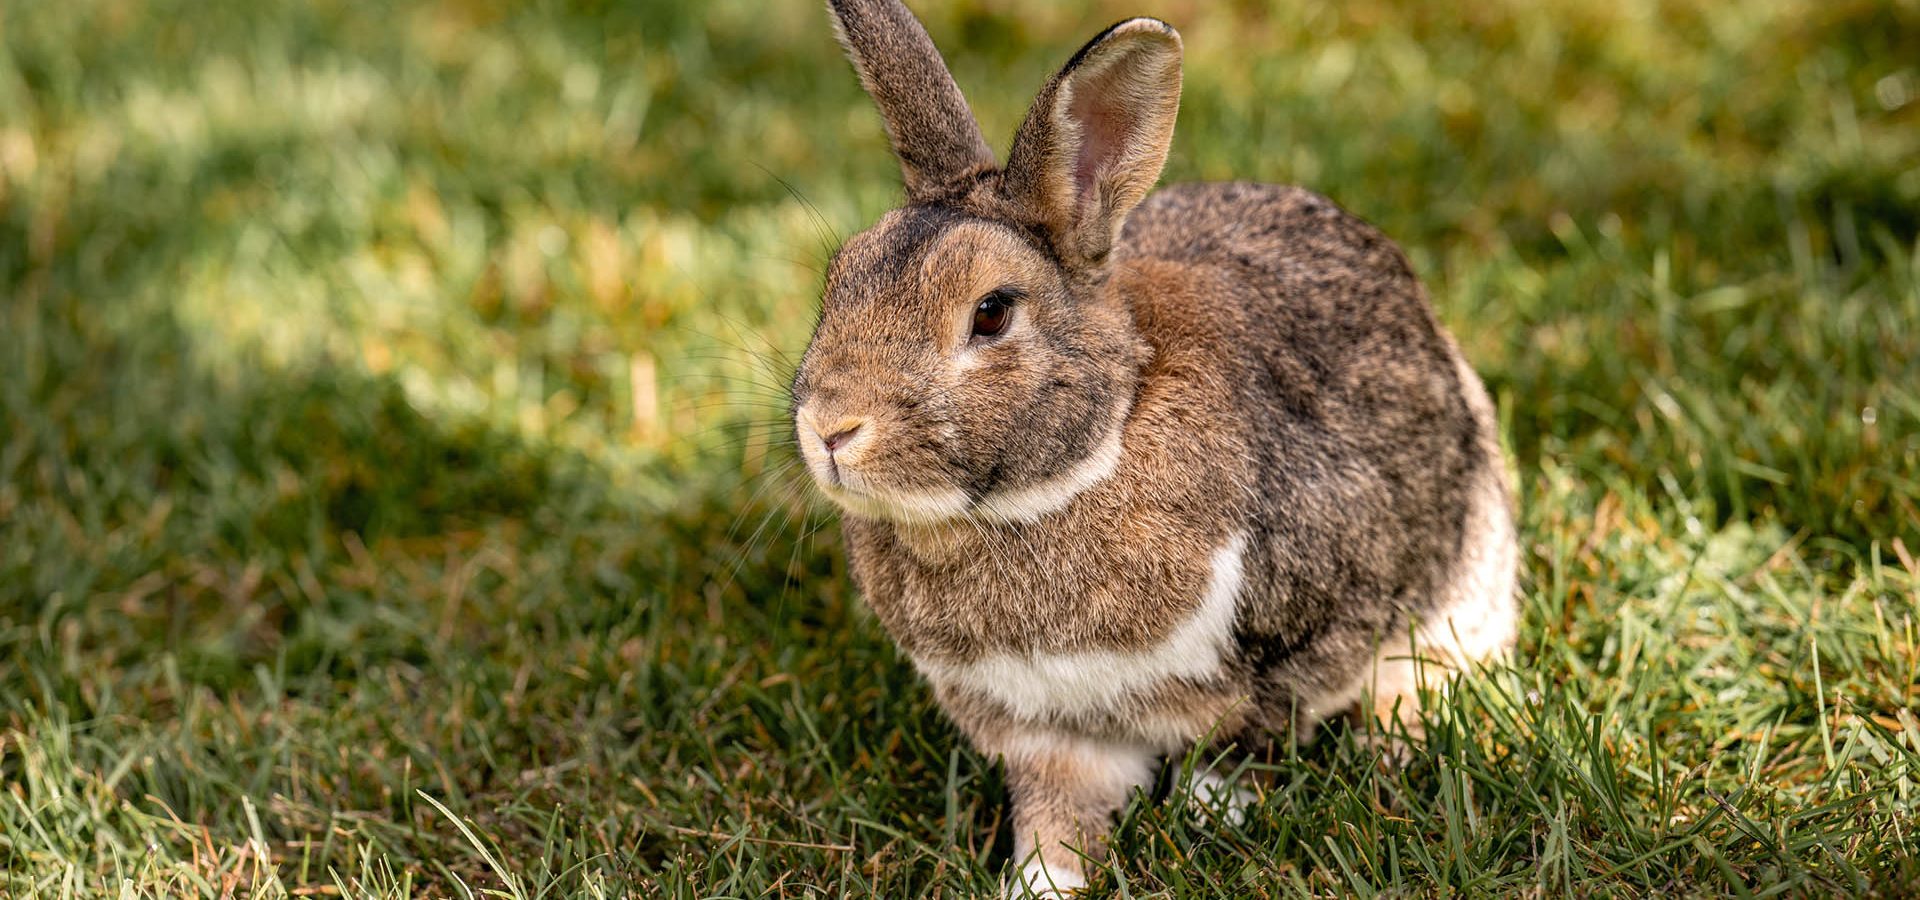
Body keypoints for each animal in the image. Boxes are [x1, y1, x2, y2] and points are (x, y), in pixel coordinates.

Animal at [787, 3, 1520, 894]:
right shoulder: (1047, 731)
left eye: (991, 313)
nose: (830, 427)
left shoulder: (1289, 651)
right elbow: (1058, 815)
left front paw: (1214, 813)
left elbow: (1244, 746)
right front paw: (1040, 882)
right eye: (838, 280)